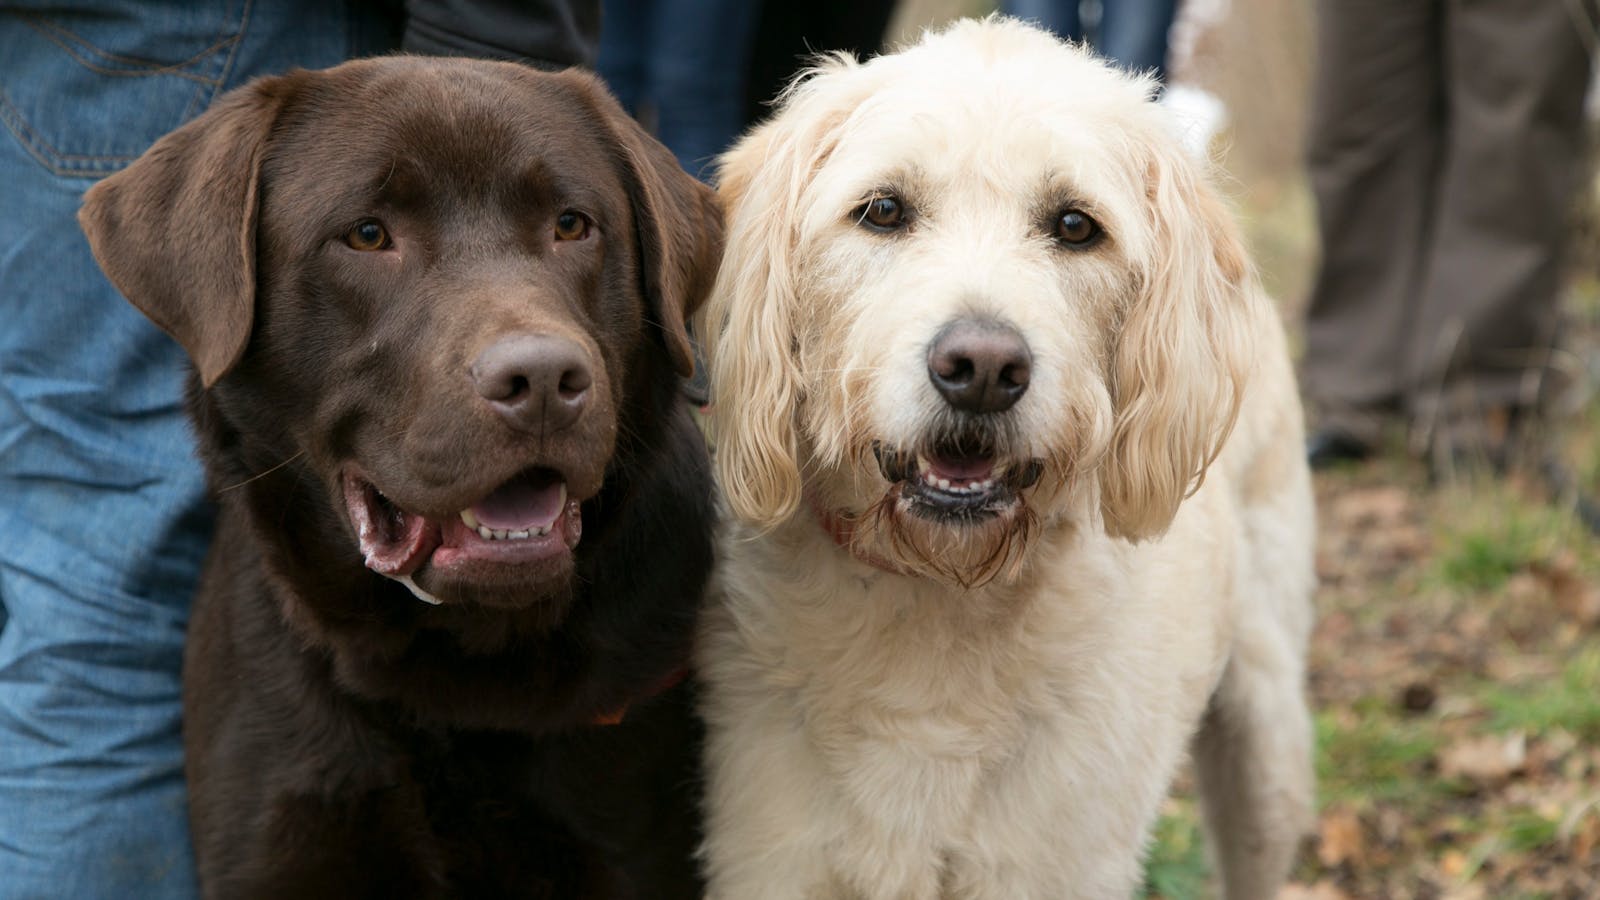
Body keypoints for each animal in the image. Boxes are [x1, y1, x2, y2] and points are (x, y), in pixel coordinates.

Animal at [697, 15, 1312, 896]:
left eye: (1075, 226)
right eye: (883, 210)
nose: (982, 369)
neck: (936, 597)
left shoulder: (1053, 865)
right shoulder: (776, 856)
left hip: (1266, 747)